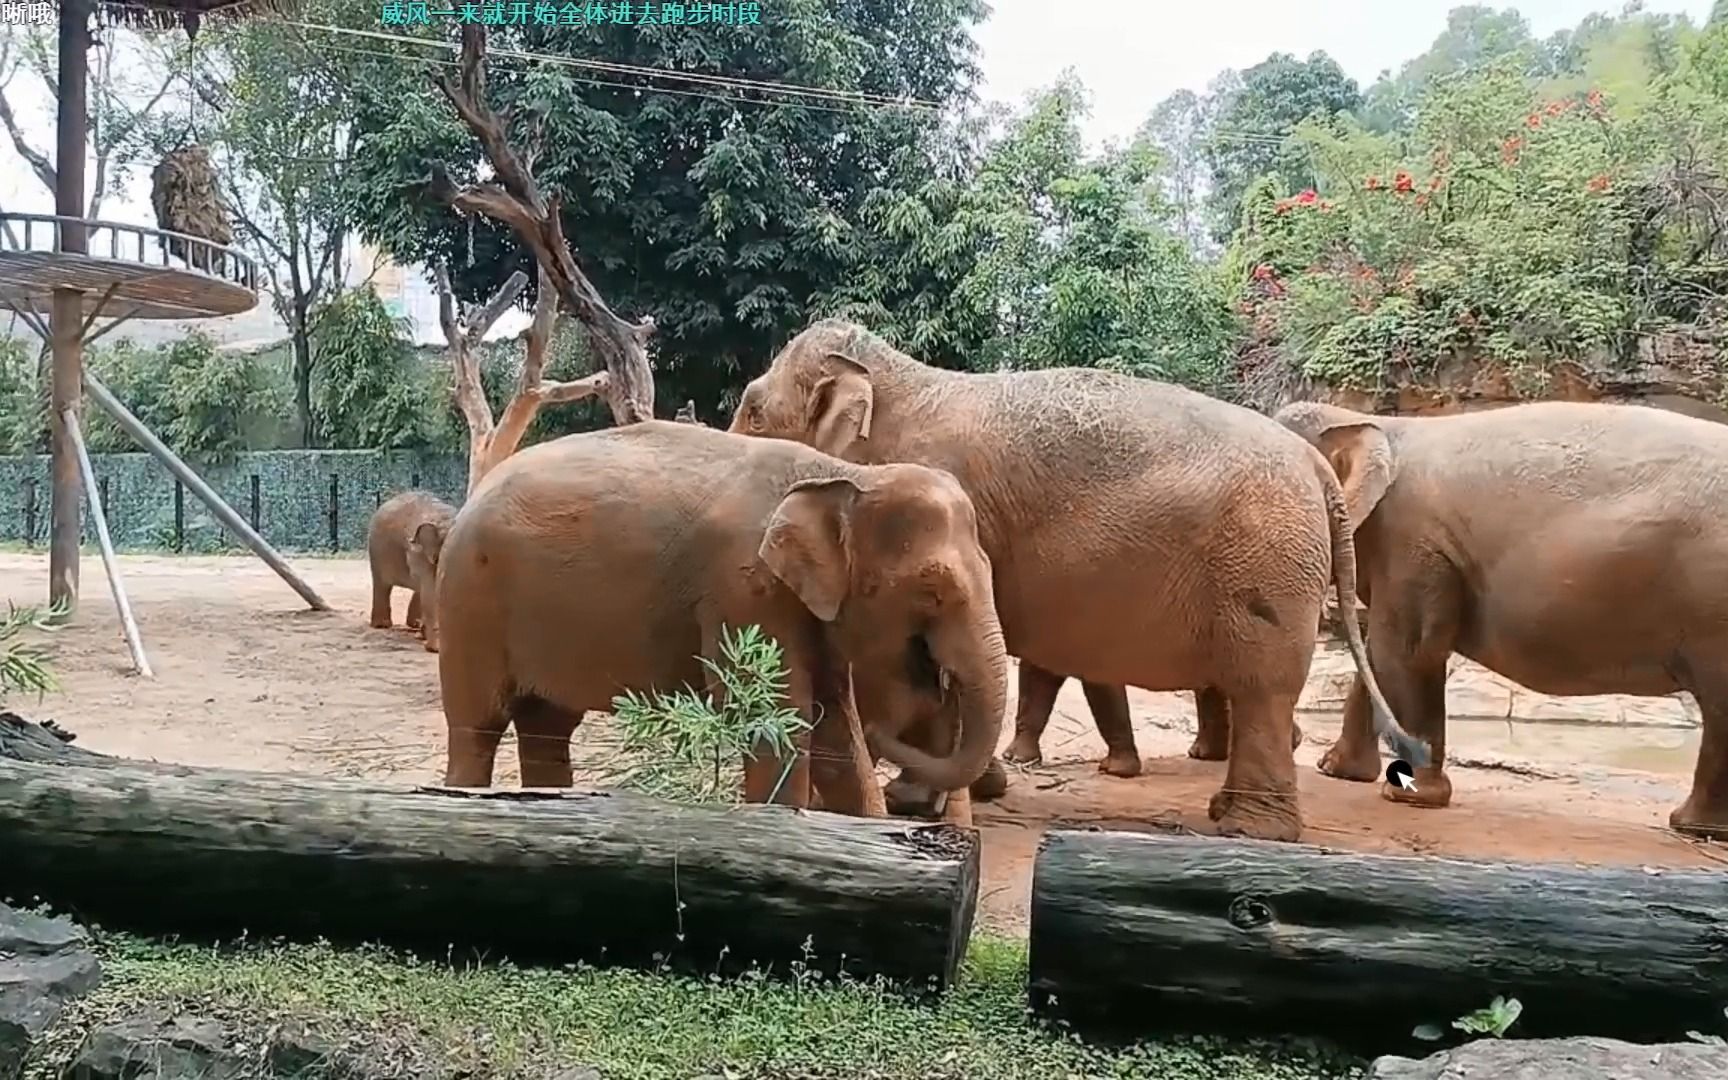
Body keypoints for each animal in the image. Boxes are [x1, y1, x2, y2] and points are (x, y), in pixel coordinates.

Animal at [368, 487, 456, 649]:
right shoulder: (419, 553)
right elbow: (431, 590)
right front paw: (435, 648)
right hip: (375, 549)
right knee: (381, 584)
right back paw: (382, 625)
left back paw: (415, 626)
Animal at [428, 416, 1009, 822]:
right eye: (932, 591)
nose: (892, 723)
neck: (841, 475)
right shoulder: (744, 589)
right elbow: (777, 721)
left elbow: (834, 729)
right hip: (468, 601)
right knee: (479, 724)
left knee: (547, 726)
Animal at [729, 316, 1430, 839]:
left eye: (754, 409)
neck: (897, 376)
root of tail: (1318, 470)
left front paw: (920, 795)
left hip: (1268, 568)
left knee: (1262, 685)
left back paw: (1247, 830)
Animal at [1271, 400, 1728, 839]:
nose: (1294, 739)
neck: (1366, 420)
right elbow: (1376, 653)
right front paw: (1338, 770)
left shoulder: (1412, 542)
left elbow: (1405, 651)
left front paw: (1408, 795)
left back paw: (1693, 826)